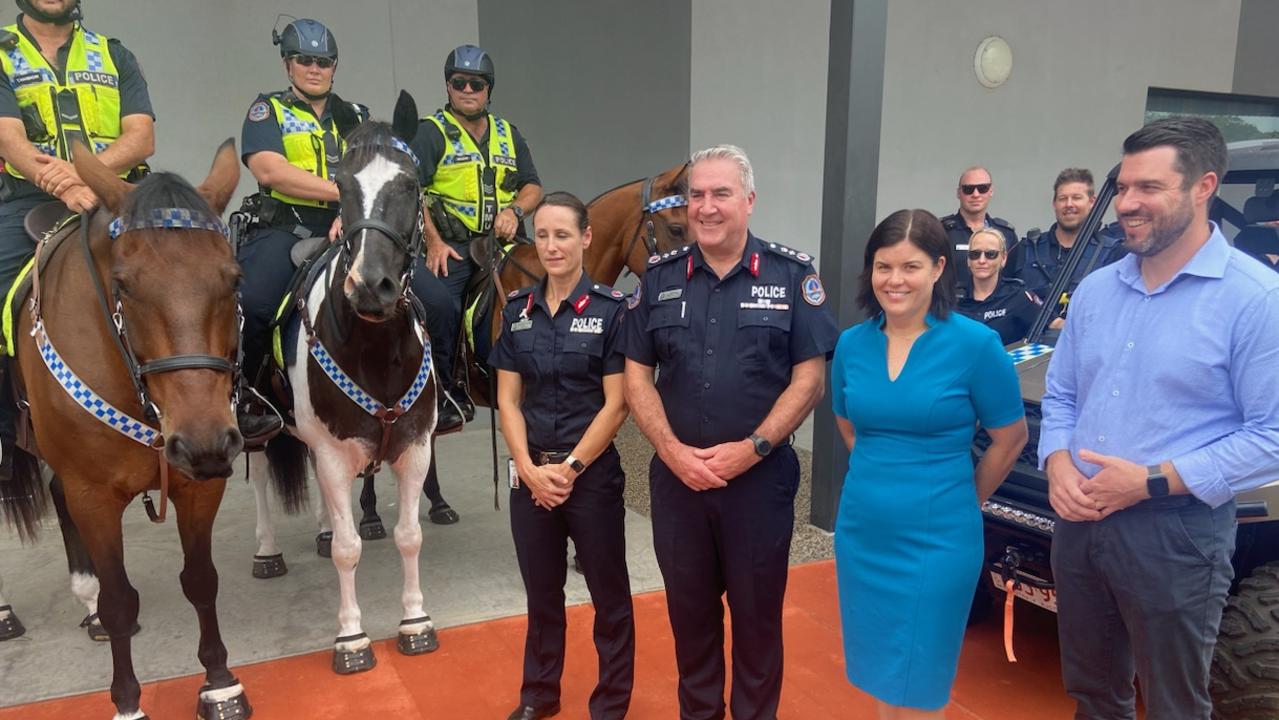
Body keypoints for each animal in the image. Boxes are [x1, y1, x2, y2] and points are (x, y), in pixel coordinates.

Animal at [0, 140, 249, 720]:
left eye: (233, 278)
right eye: (124, 285)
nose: (204, 442)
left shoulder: (199, 485)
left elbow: (200, 580)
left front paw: (219, 683)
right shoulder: (94, 494)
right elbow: (119, 602)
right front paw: (129, 702)